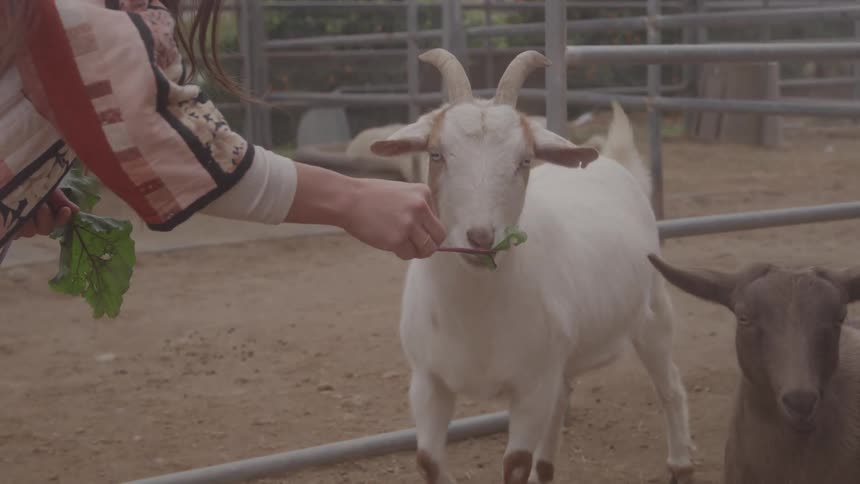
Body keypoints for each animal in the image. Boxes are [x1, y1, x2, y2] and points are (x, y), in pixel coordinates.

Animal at [370, 49, 694, 484]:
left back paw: (681, 462)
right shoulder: (428, 381)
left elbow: (516, 464)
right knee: (564, 400)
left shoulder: (531, 387)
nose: (480, 237)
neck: (475, 317)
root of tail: (613, 162)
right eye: (436, 154)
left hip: (654, 313)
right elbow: (428, 461)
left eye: (523, 160)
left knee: (670, 386)